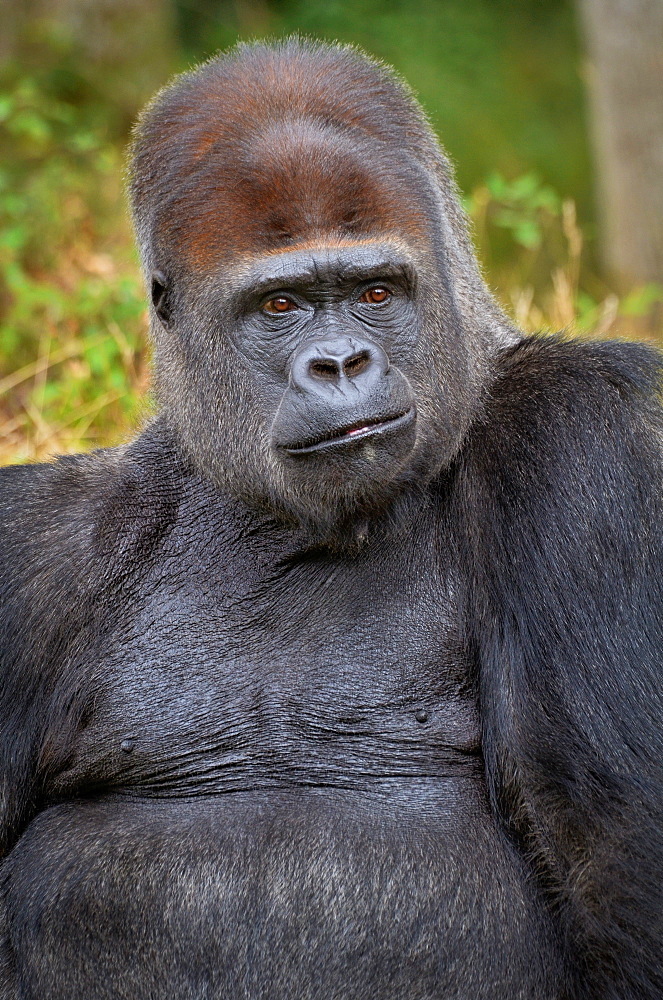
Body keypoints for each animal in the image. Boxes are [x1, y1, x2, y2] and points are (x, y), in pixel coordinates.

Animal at [1, 37, 663, 1000]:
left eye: (375, 292)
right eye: (279, 305)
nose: (342, 361)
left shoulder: (583, 432)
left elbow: (617, 871)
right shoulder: (37, 547)